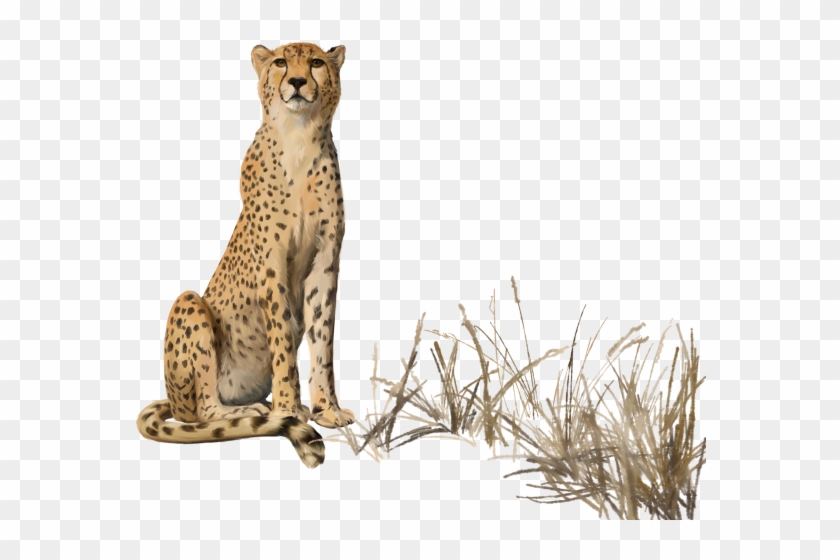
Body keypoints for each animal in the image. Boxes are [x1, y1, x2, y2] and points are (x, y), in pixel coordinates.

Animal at [137, 42, 355, 469]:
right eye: (281, 62)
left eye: (316, 63)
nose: (298, 81)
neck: (299, 138)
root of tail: (171, 398)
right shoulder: (270, 261)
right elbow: (282, 339)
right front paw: (289, 409)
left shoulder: (325, 262)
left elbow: (323, 339)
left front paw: (326, 409)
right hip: (189, 306)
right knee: (201, 412)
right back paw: (251, 411)